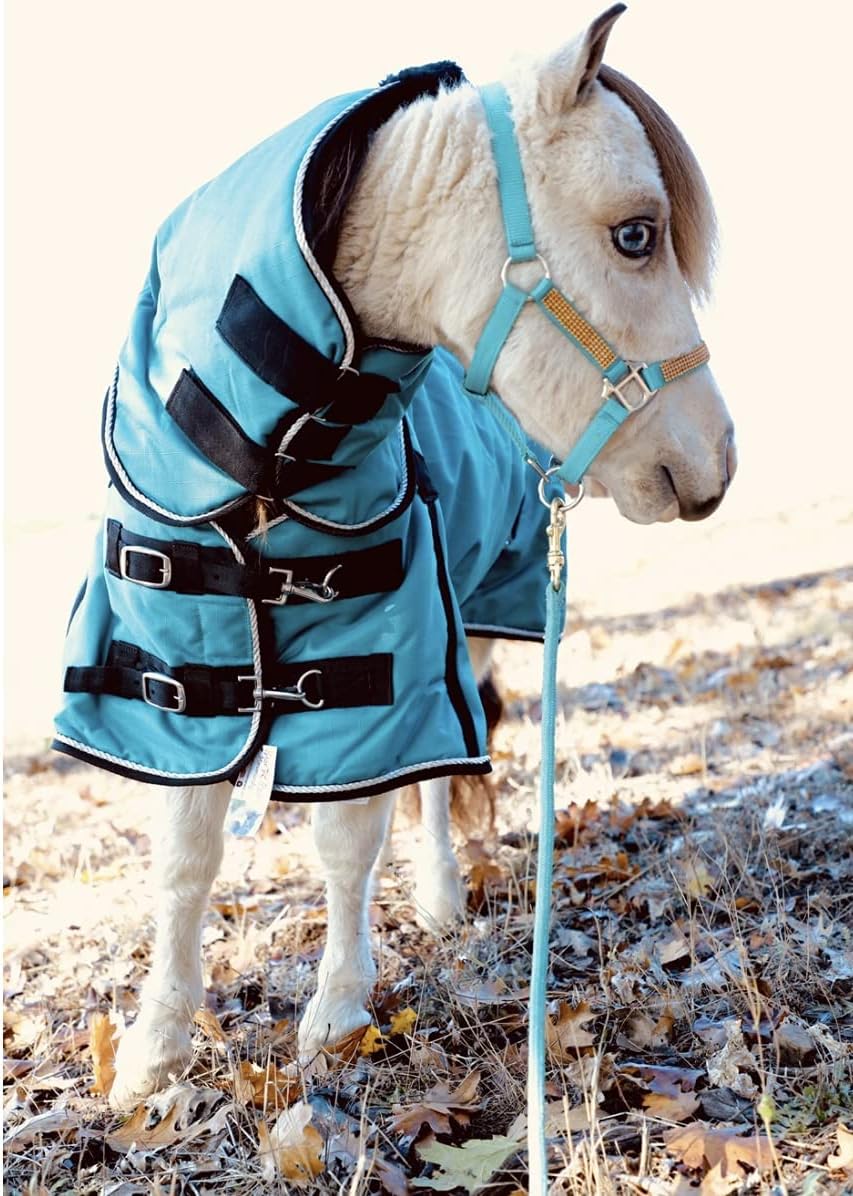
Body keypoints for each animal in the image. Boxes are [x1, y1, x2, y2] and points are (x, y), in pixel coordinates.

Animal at [53, 4, 734, 1110]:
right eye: (635, 233)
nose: (715, 461)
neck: (265, 462)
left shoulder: (382, 657)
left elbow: (348, 836)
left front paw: (336, 1016)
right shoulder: (176, 673)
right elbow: (184, 858)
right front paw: (156, 1051)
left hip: (475, 632)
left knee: (441, 780)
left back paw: (444, 896)